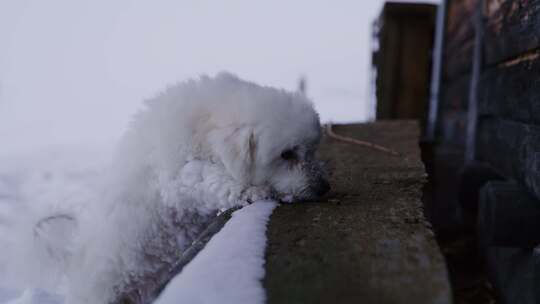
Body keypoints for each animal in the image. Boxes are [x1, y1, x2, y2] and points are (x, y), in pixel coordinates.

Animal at [9, 72, 330, 302]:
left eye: (312, 149)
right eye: (286, 154)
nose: (323, 187)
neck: (205, 122)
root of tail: (74, 258)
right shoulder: (176, 176)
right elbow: (209, 178)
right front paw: (252, 191)